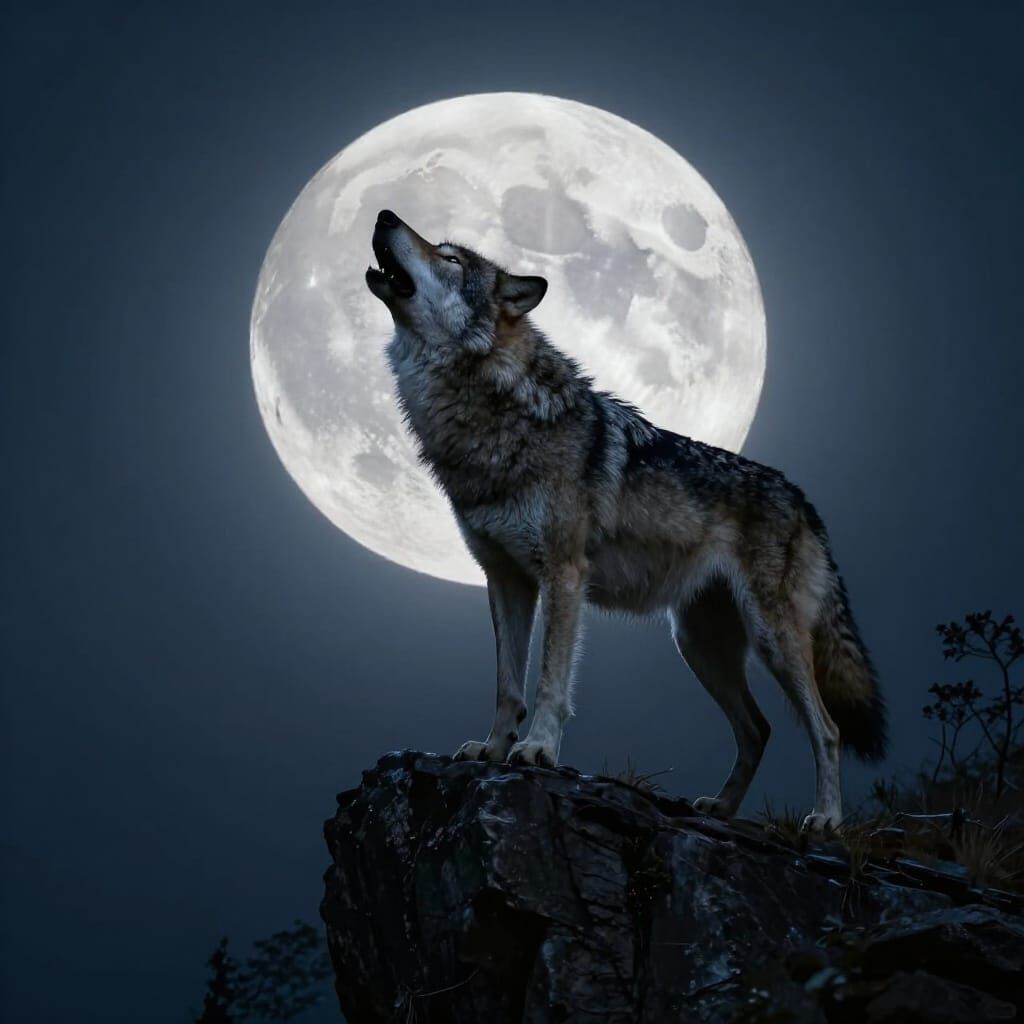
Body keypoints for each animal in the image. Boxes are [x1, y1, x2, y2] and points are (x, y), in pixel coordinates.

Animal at [365, 209, 886, 831]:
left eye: (449, 259)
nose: (384, 214)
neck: (491, 412)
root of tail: (804, 500)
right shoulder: (506, 579)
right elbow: (507, 686)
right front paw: (491, 750)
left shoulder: (563, 573)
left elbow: (550, 681)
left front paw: (536, 750)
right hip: (697, 645)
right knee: (758, 729)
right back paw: (721, 807)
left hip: (771, 639)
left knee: (826, 728)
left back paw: (826, 820)